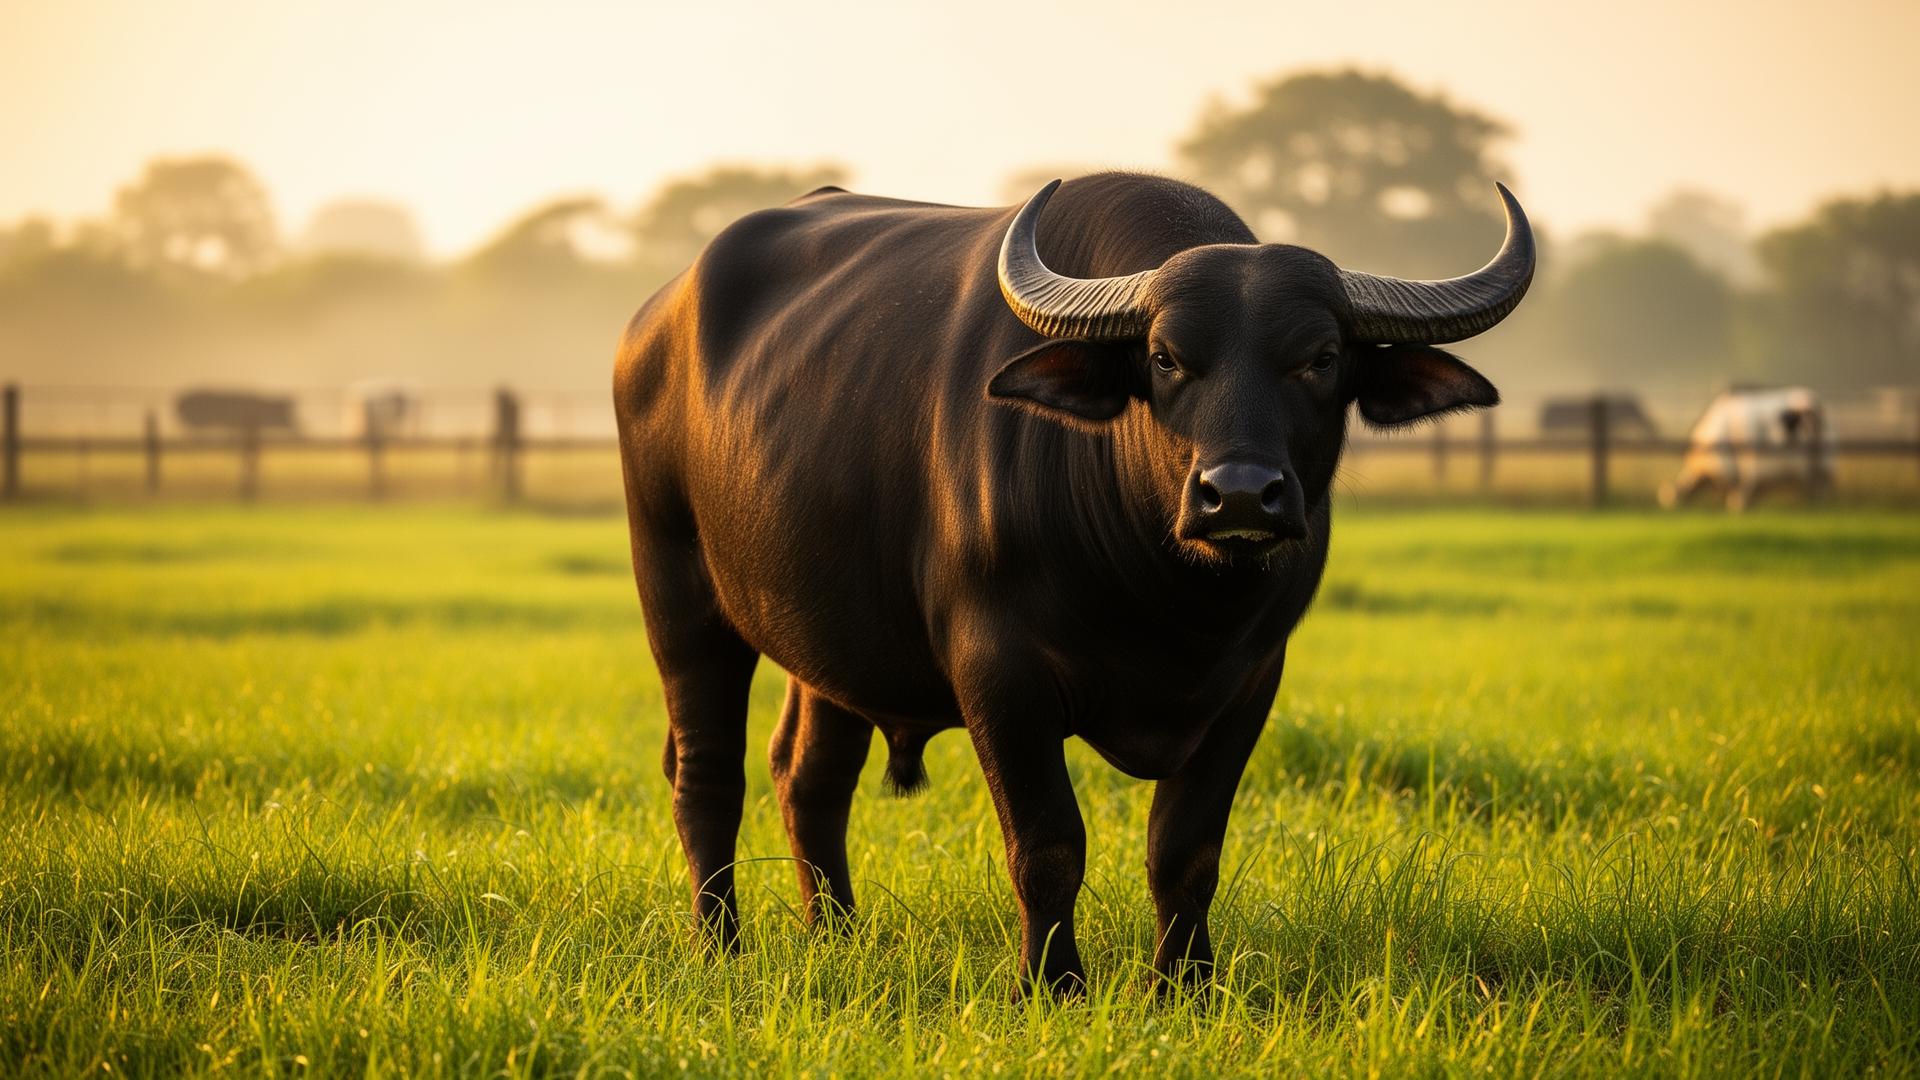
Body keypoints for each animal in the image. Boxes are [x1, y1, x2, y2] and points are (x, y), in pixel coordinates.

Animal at [614, 172, 1533, 994]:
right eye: (1165, 358)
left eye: (1323, 357)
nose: (1239, 494)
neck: (1174, 604)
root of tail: (655, 320)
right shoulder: (999, 674)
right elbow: (1048, 843)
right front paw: (1053, 984)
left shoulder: (1251, 683)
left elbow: (1186, 849)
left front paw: (1182, 985)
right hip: (678, 596)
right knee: (707, 777)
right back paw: (720, 947)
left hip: (831, 641)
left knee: (809, 780)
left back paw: (837, 938)